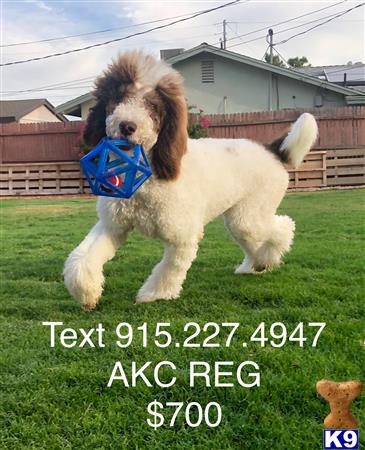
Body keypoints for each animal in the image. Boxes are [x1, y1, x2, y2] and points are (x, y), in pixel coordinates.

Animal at [62, 50, 316, 310]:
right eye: (118, 97)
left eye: (152, 106)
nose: (127, 126)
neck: (147, 176)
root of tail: (271, 150)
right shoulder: (113, 224)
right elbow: (82, 256)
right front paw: (86, 292)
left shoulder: (182, 236)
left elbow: (169, 269)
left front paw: (154, 294)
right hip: (240, 218)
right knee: (255, 239)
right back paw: (256, 264)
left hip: (251, 214)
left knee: (283, 227)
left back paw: (269, 256)